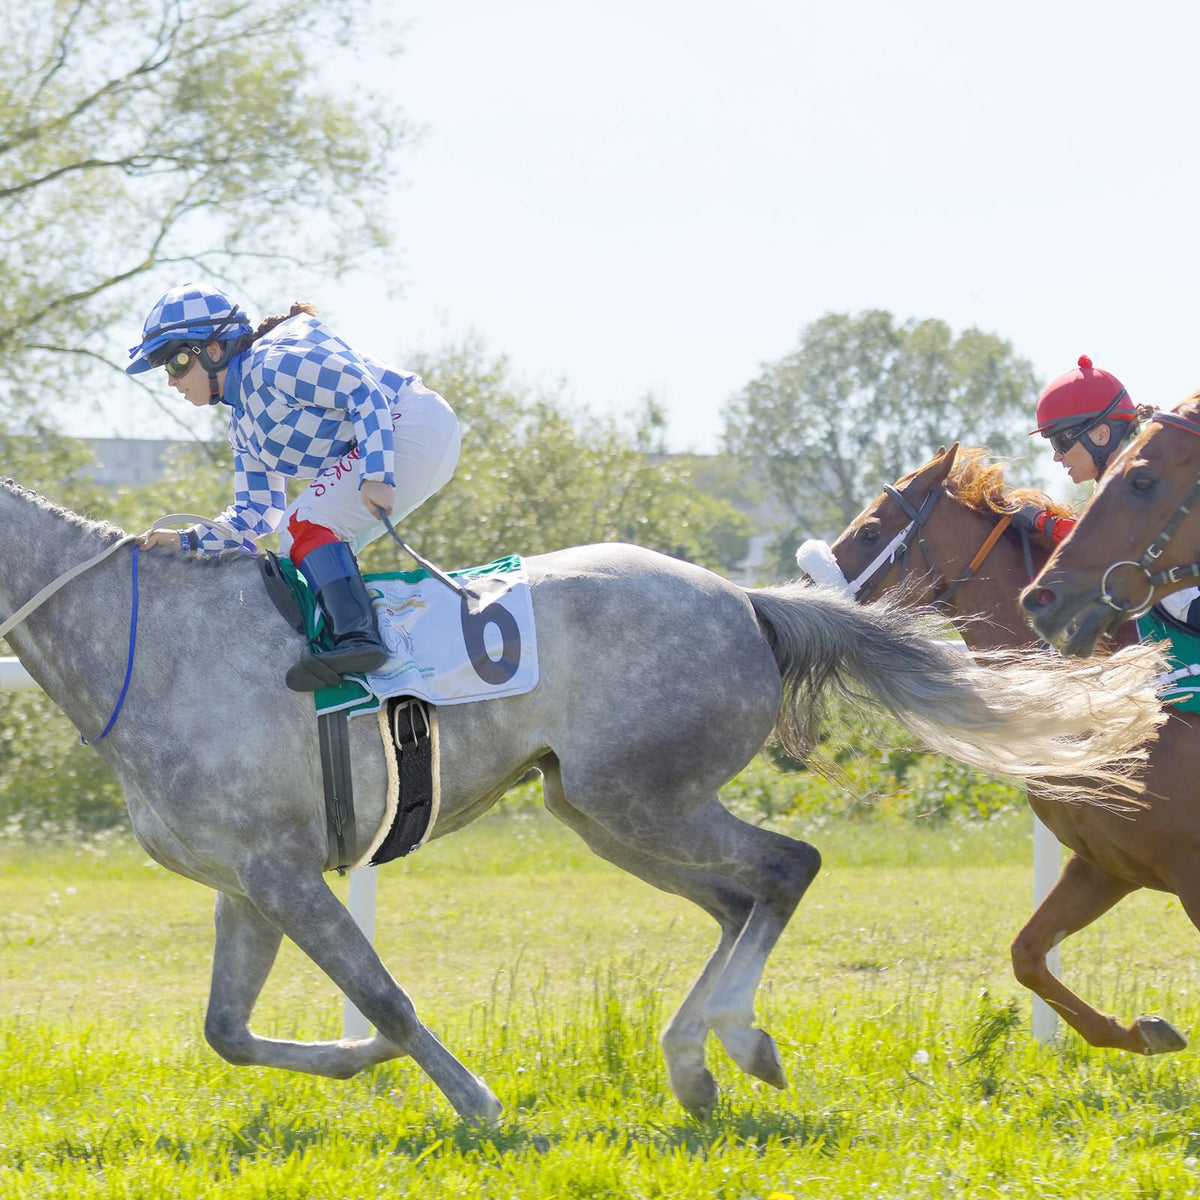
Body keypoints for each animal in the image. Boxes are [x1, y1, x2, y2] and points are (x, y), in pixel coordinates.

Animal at [0, 480, 1167, 1121]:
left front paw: (474, 1101)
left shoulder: (281, 871)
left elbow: (381, 995)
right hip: (603, 812)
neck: (146, 641)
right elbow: (226, 1031)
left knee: (786, 867)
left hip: (641, 796)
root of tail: (746, 598)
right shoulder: (244, 880)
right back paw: (698, 1062)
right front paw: (363, 1061)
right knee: (741, 899)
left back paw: (733, 1042)